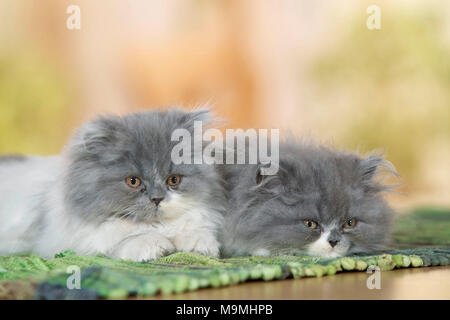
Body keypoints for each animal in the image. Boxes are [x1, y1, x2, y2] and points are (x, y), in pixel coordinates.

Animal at [0, 109, 225, 262]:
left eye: (174, 180)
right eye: (133, 181)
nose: (157, 199)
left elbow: (193, 230)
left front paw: (198, 244)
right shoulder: (70, 243)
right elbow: (126, 240)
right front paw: (155, 245)